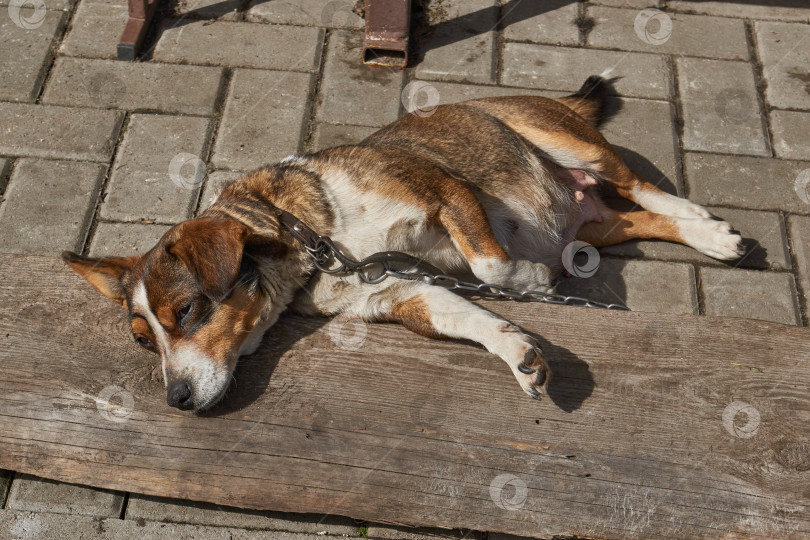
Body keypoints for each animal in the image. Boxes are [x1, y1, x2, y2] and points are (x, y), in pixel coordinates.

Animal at [64, 76, 744, 412]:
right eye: (142, 340)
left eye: (187, 312)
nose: (176, 400)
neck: (316, 242)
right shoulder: (397, 293)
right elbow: (472, 318)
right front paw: (517, 352)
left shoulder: (448, 192)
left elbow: (491, 265)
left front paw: (528, 281)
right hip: (593, 223)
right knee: (631, 220)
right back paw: (698, 237)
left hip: (568, 142)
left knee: (643, 187)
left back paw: (709, 227)